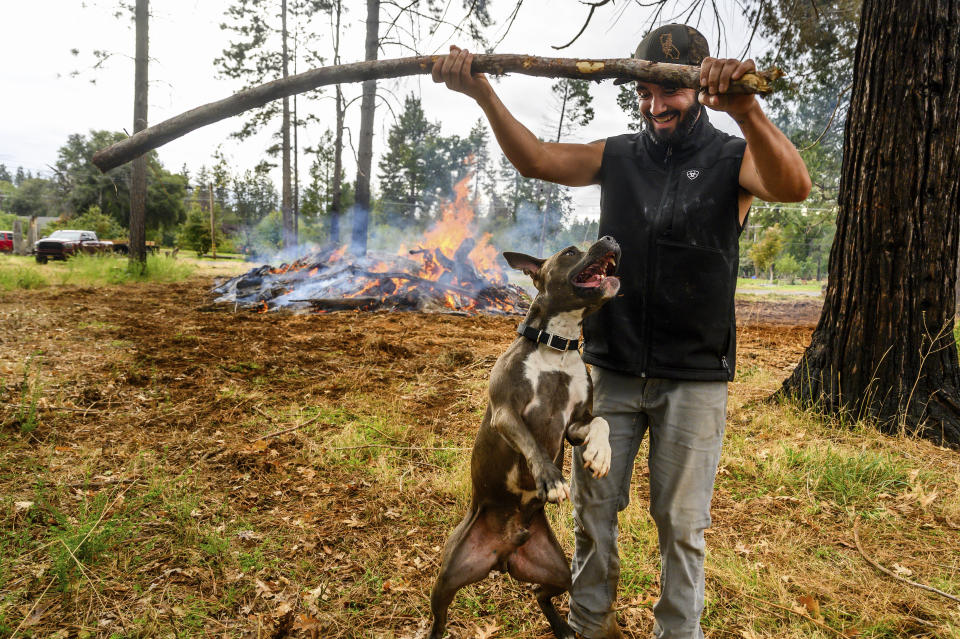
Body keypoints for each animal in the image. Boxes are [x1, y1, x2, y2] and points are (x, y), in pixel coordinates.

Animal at [428, 236, 624, 639]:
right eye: (570, 252)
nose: (611, 238)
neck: (557, 345)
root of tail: (504, 552)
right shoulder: (506, 413)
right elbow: (532, 444)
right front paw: (551, 480)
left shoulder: (575, 424)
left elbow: (602, 423)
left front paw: (600, 455)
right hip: (446, 579)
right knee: (439, 619)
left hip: (560, 572)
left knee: (540, 594)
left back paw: (562, 628)